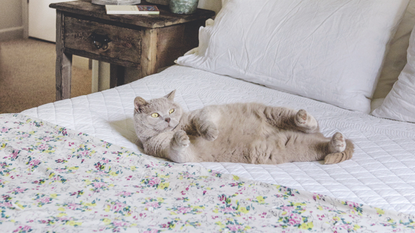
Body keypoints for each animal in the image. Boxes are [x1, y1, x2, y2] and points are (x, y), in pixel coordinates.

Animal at [133, 90, 354, 165]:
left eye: (171, 110)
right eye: (155, 114)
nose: (168, 120)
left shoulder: (202, 114)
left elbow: (204, 123)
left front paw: (211, 133)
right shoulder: (174, 154)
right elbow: (178, 149)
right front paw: (180, 137)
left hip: (273, 112)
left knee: (311, 124)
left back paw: (302, 117)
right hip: (296, 146)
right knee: (323, 145)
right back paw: (337, 142)